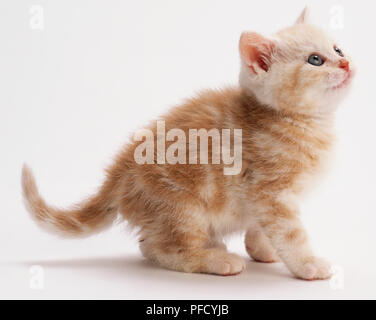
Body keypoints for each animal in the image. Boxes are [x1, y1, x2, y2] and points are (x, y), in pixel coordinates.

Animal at [22, 8, 352, 280]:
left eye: (337, 48)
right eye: (315, 59)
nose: (346, 63)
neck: (305, 122)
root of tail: (119, 173)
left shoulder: (261, 200)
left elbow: (259, 228)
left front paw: (263, 251)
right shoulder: (271, 193)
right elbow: (291, 235)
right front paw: (308, 265)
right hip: (182, 208)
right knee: (160, 249)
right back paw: (216, 259)